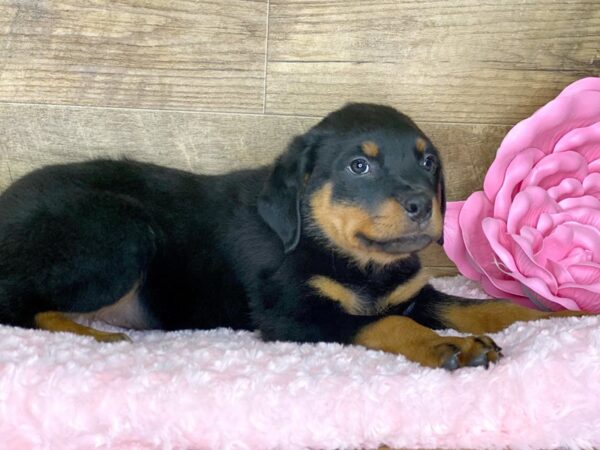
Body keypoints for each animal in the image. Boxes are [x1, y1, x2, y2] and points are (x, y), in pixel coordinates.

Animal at [0, 104, 584, 370]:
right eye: (358, 166)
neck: (350, 256)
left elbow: (484, 306)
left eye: (427, 162)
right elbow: (388, 324)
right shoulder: (294, 315)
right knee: (19, 305)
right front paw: (452, 346)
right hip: (119, 235)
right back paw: (95, 337)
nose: (423, 205)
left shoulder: (411, 292)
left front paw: (565, 316)